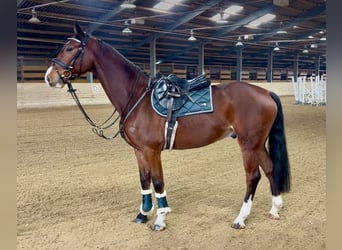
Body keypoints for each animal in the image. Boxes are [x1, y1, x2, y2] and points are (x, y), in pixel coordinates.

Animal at [45, 22, 290, 231]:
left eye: (69, 48)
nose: (49, 77)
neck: (137, 97)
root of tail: (266, 92)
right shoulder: (139, 151)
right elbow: (144, 180)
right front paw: (143, 214)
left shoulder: (152, 150)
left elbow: (157, 182)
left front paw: (160, 219)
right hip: (258, 143)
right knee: (270, 169)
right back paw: (274, 209)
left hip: (248, 144)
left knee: (253, 176)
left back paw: (240, 218)